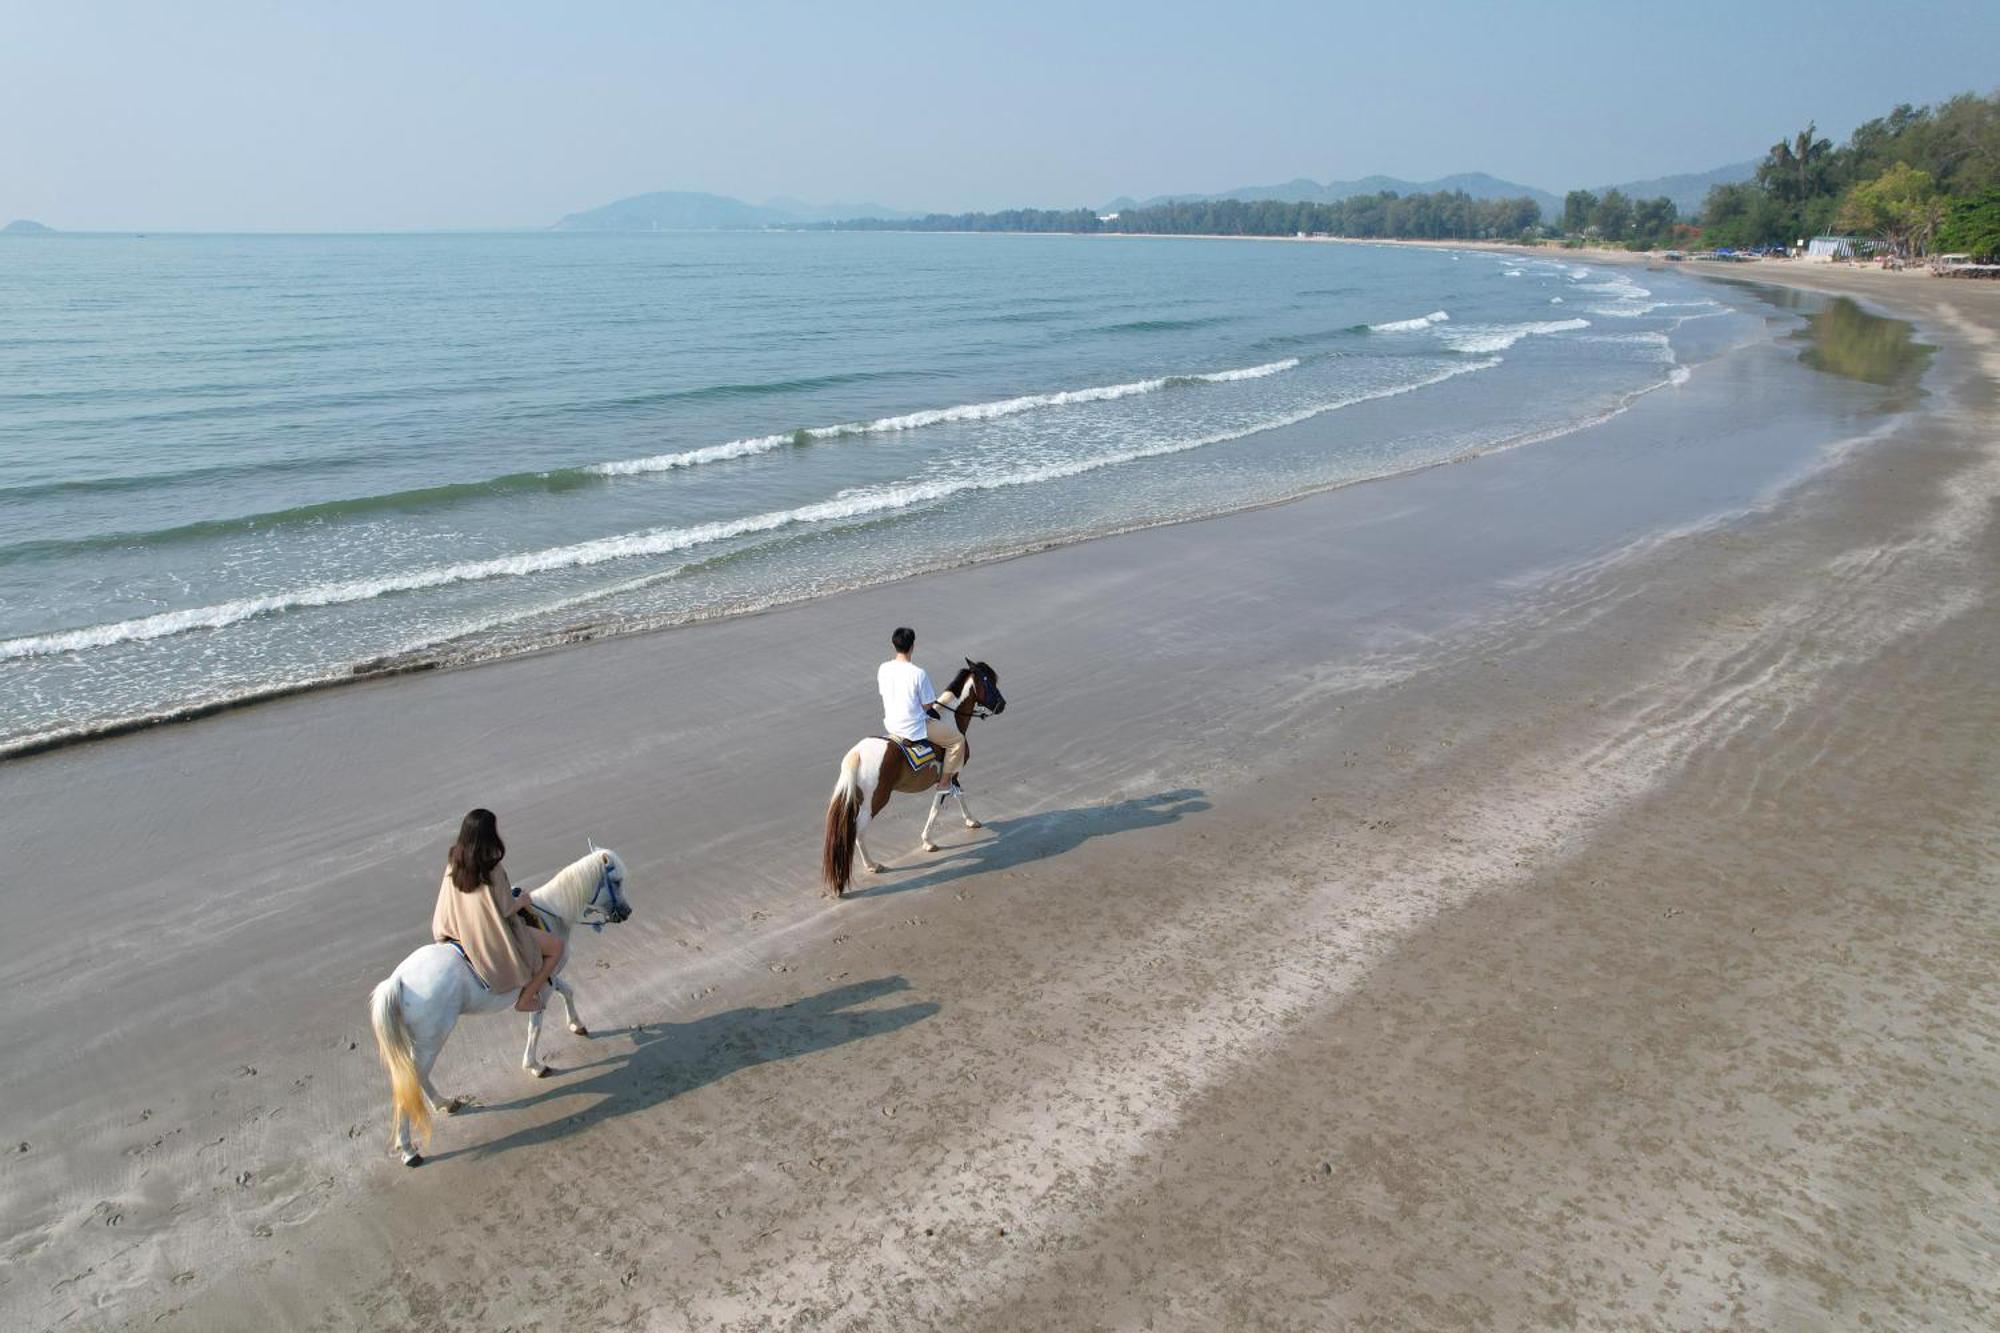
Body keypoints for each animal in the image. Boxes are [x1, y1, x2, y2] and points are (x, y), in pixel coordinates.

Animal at [368, 844, 628, 1160]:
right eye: (616, 881)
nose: (627, 912)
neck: (552, 915)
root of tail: (398, 979)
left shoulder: (550, 978)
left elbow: (568, 992)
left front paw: (576, 1024)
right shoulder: (542, 984)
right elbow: (535, 1026)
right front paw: (535, 1065)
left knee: (417, 1077)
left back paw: (444, 1103)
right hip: (432, 1038)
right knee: (412, 1080)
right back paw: (408, 1148)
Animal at [820, 660, 1008, 896]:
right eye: (989, 681)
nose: (1002, 704)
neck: (950, 720)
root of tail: (858, 753)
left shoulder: (952, 777)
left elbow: (959, 796)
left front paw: (970, 821)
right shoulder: (949, 776)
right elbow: (938, 807)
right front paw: (928, 841)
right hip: (875, 801)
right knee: (858, 831)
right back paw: (872, 865)